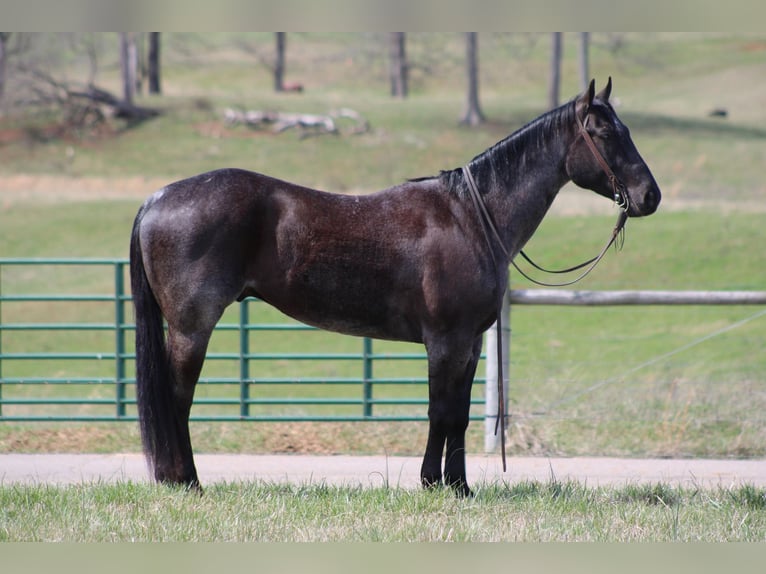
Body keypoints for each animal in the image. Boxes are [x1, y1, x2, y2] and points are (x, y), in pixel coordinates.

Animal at [130, 79, 660, 498]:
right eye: (605, 132)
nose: (649, 196)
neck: (471, 216)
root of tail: (157, 198)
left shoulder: (469, 345)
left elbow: (459, 415)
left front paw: (459, 487)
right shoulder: (444, 342)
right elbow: (439, 412)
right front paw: (432, 483)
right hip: (192, 328)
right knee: (177, 399)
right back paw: (187, 483)